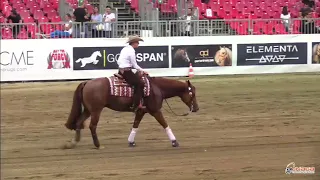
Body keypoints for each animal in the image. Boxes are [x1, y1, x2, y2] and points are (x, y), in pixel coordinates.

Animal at [63, 74, 199, 148]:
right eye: (192, 93)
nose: (196, 108)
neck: (156, 88)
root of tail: (86, 82)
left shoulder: (141, 111)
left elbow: (135, 125)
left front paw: (131, 142)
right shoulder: (155, 110)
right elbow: (165, 124)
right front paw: (175, 142)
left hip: (88, 110)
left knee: (79, 122)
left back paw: (73, 143)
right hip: (96, 110)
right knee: (92, 126)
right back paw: (98, 145)